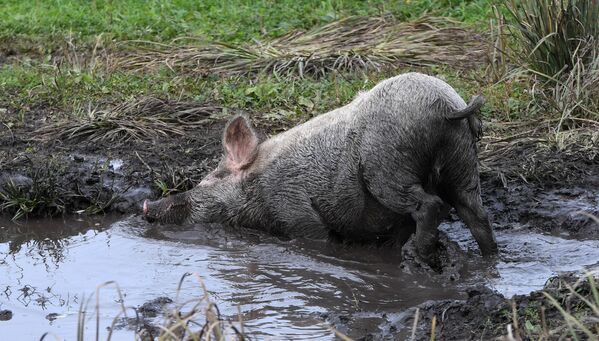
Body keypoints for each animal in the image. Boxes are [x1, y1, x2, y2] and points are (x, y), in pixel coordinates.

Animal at [143, 72, 500, 266]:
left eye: (208, 180)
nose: (147, 206)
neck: (258, 195)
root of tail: (448, 105)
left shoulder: (295, 209)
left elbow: (319, 238)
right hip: (462, 160)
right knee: (476, 214)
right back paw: (490, 259)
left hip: (388, 165)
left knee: (431, 205)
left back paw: (419, 256)